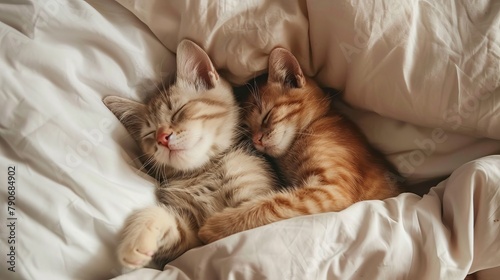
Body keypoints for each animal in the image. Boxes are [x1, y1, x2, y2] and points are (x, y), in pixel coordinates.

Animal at [102, 40, 278, 270]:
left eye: (178, 112)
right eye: (150, 133)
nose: (162, 138)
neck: (204, 171)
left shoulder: (253, 197)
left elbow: (248, 220)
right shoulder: (191, 244)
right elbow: (167, 221)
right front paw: (138, 236)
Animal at [197, 47, 400, 242]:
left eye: (266, 116)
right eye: (247, 128)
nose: (256, 140)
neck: (315, 124)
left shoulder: (332, 190)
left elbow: (270, 205)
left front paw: (215, 226)